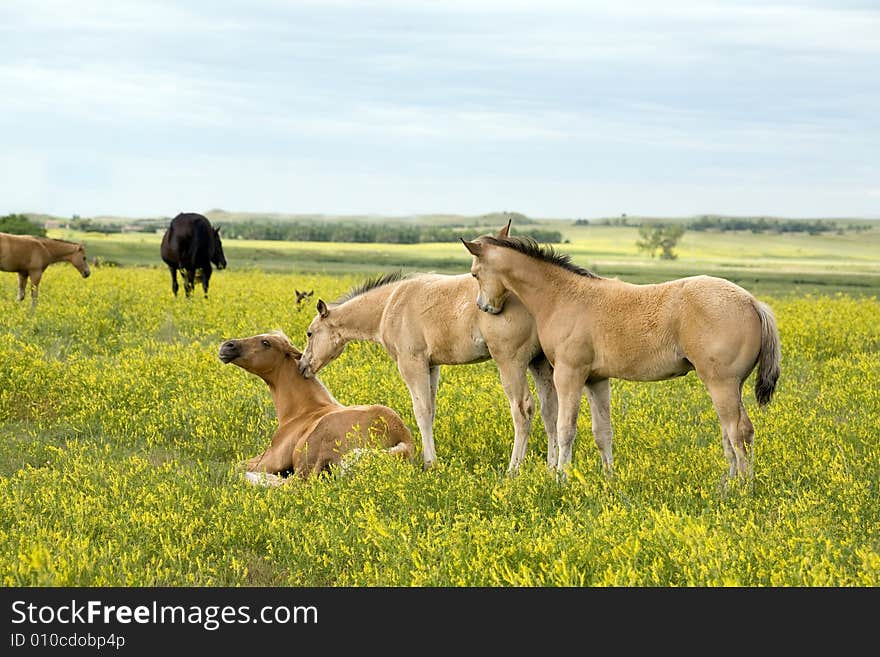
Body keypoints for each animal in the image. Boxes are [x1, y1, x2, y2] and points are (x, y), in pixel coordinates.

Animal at [218, 330, 414, 484]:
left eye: (266, 342)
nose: (227, 346)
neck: (303, 411)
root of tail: (402, 436)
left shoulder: (271, 458)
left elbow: (235, 465)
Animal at [298, 220, 556, 472]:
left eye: (310, 333)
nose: (302, 366)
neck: (390, 305)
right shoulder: (432, 366)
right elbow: (431, 410)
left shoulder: (412, 364)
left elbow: (421, 411)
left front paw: (429, 463)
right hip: (539, 363)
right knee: (550, 409)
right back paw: (552, 468)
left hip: (510, 363)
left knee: (523, 409)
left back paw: (514, 470)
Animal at [460, 233, 784, 480]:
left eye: (475, 273)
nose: (485, 307)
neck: (563, 296)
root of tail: (752, 302)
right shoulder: (596, 380)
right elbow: (603, 432)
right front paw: (609, 479)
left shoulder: (569, 374)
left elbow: (565, 429)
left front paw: (561, 478)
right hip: (731, 387)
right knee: (734, 435)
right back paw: (727, 485)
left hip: (722, 385)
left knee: (738, 432)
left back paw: (740, 489)